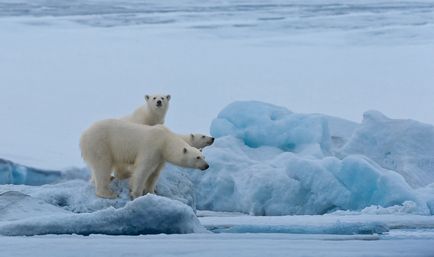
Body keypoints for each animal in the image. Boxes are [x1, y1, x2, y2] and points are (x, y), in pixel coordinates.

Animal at [79, 119, 209, 199]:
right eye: (197, 157)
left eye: (204, 156)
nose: (206, 166)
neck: (165, 140)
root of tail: (83, 135)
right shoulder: (151, 147)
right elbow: (143, 170)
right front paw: (136, 194)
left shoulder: (160, 156)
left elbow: (154, 173)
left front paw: (151, 192)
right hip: (100, 143)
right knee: (102, 166)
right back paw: (108, 193)